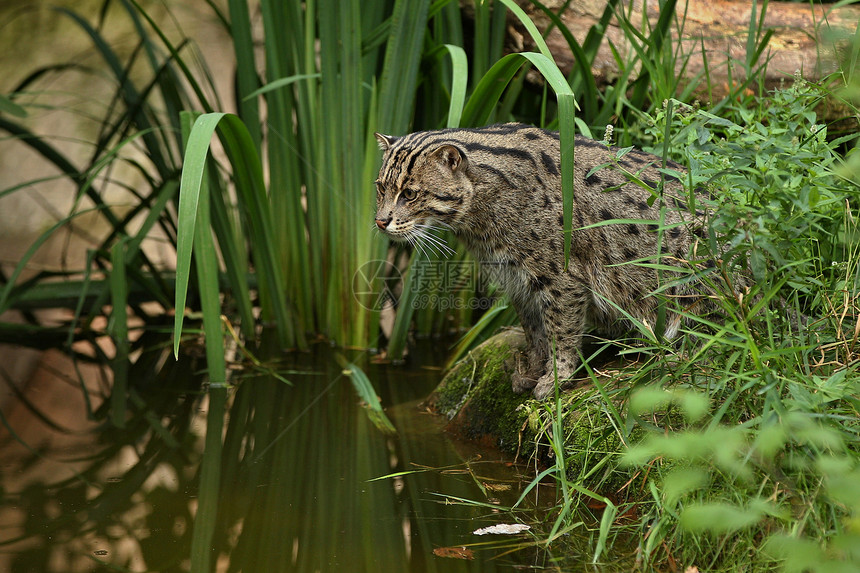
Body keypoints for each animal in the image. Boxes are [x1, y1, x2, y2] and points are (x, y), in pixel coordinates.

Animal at [372, 122, 708, 398]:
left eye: (410, 194)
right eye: (380, 188)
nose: (380, 221)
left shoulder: (562, 277)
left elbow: (561, 331)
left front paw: (556, 378)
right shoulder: (517, 280)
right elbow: (534, 332)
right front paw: (534, 371)